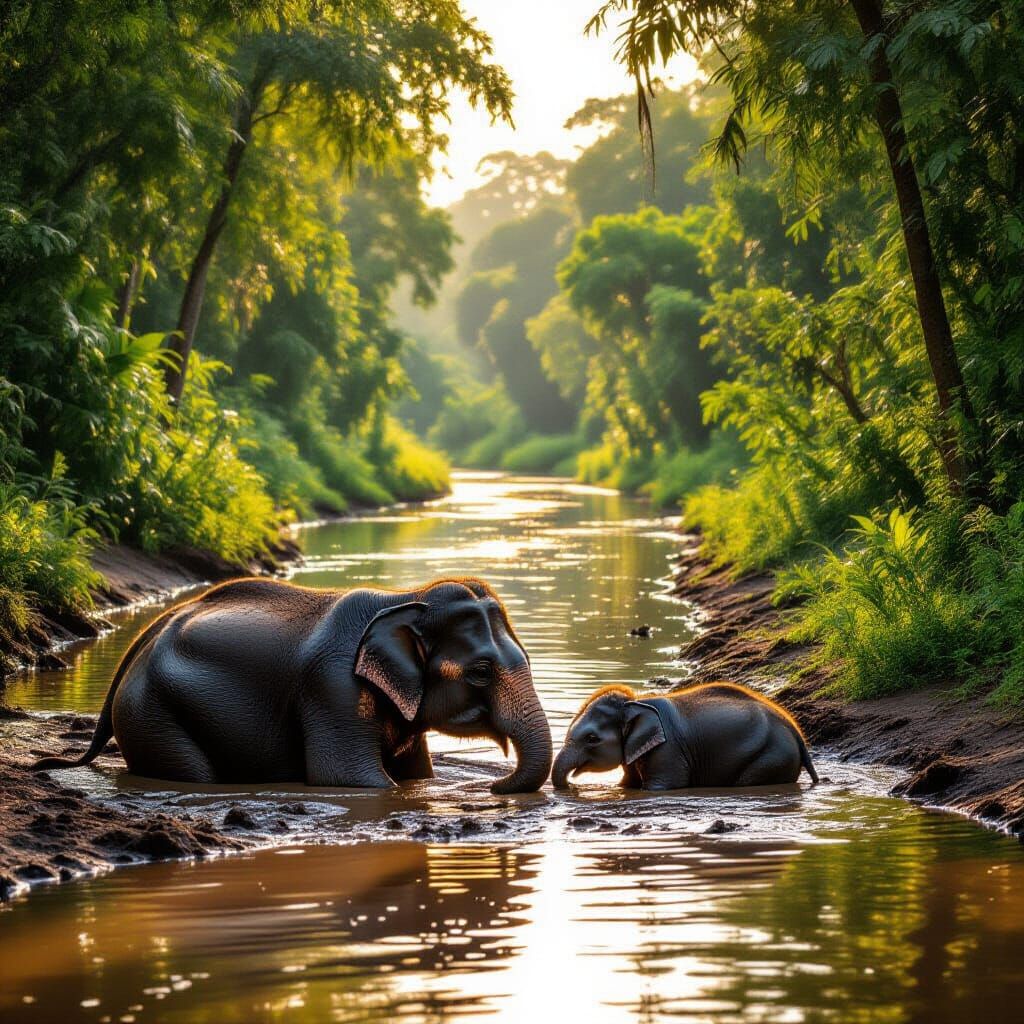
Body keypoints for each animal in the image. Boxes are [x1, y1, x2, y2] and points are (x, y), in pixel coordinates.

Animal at [31, 576, 552, 794]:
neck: (407, 596)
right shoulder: (332, 689)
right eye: (481, 671)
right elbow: (353, 781)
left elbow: (417, 778)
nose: (492, 786)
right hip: (151, 713)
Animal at [551, 681, 818, 790]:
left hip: (772, 757)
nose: (571, 787)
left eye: (592, 739)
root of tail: (797, 734)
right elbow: (627, 783)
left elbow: (659, 787)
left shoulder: (668, 750)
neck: (636, 702)